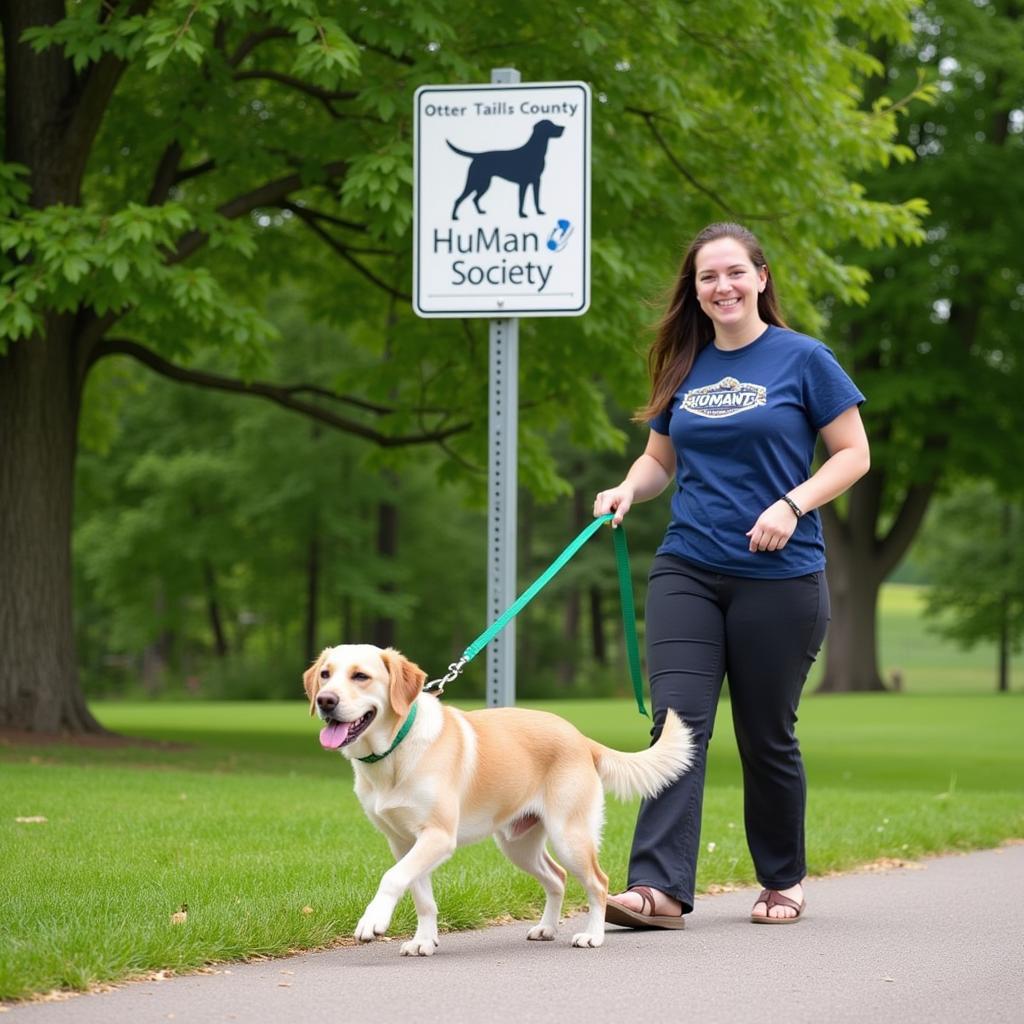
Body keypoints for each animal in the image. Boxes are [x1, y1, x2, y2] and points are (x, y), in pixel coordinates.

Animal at [299, 643, 692, 954]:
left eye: (360, 676)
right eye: (325, 674)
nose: (325, 701)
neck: (395, 751)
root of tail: (580, 737)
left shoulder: (438, 837)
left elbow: (392, 878)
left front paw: (373, 921)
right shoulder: (404, 843)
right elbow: (421, 896)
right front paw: (424, 941)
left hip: (570, 836)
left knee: (598, 882)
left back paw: (592, 935)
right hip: (519, 846)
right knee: (557, 877)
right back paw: (547, 928)